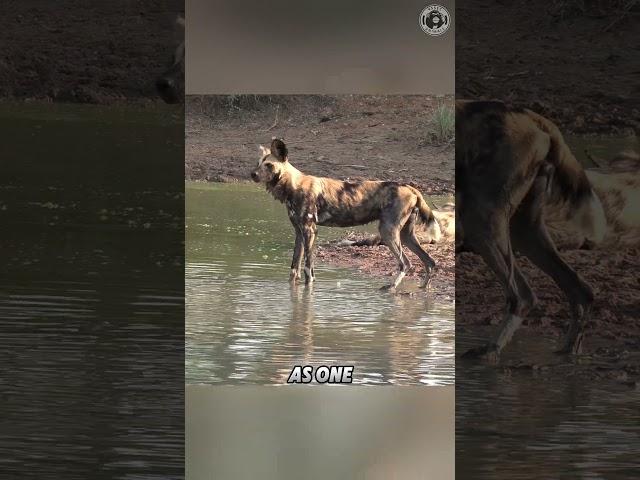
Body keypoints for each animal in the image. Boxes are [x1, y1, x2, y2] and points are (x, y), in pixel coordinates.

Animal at [250, 138, 440, 288]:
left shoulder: (310, 231)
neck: (292, 185)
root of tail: (410, 187)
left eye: (269, 165)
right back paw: (423, 289)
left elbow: (308, 270)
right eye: (258, 163)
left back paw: (390, 288)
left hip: (388, 232)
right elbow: (294, 269)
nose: (252, 174)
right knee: (430, 262)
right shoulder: (299, 232)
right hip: (406, 236)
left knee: (405, 263)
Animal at [458, 99, 608, 360]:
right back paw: (568, 354)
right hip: (522, 231)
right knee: (581, 291)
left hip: (481, 223)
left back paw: (489, 351)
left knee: (521, 296)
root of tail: (533, 117)